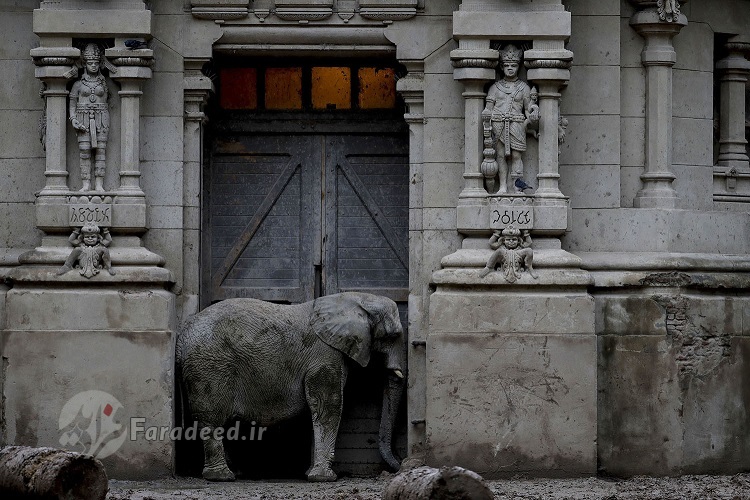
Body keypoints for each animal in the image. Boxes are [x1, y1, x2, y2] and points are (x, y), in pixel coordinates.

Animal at [176, 292, 406, 482]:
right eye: (393, 335)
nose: (400, 464)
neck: (355, 298)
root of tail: (183, 333)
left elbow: (320, 408)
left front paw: (311, 474)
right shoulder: (324, 355)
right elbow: (328, 406)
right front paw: (324, 478)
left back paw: (235, 472)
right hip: (210, 366)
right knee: (212, 420)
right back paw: (221, 477)